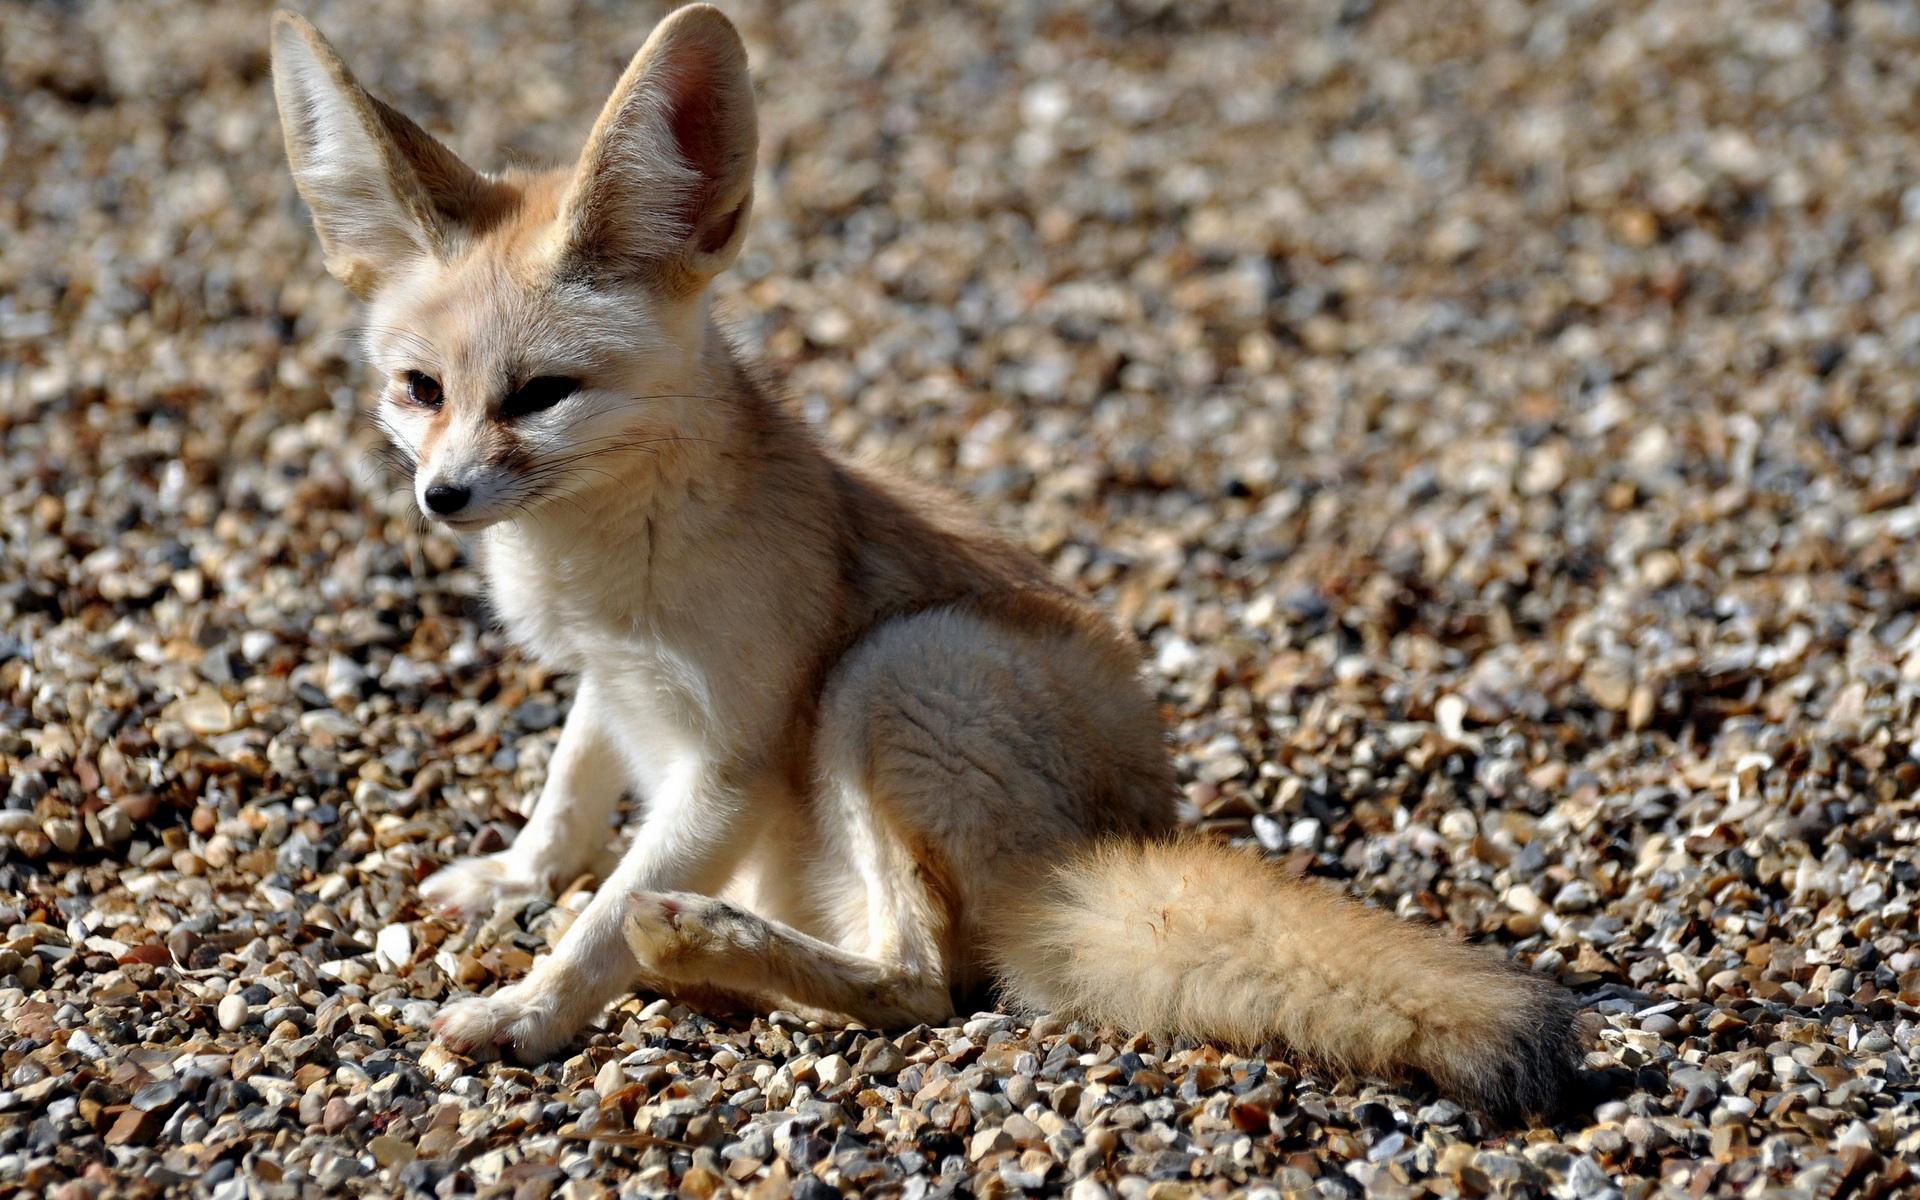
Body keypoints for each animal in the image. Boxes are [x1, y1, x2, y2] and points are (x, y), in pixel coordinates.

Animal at [270, 4, 1585, 1119]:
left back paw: (697, 944)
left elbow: (595, 920)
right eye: (420, 390)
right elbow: (567, 798)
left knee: (921, 983)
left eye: (542, 395)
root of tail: (1094, 858)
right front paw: (513, 878)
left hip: (894, 671)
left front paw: (529, 1011)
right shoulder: (610, 680)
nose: (443, 497)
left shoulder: (730, 764)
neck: (600, 554)